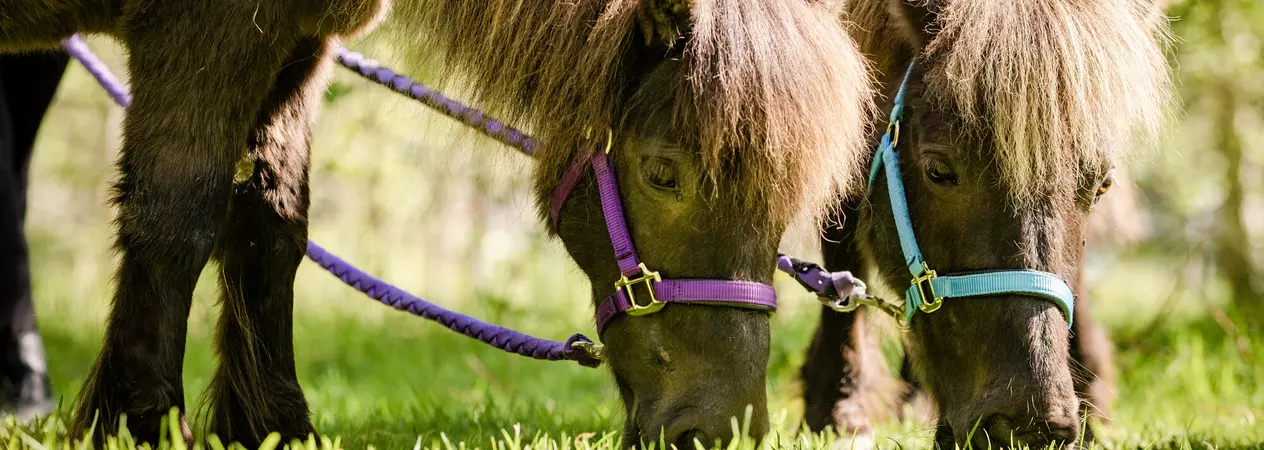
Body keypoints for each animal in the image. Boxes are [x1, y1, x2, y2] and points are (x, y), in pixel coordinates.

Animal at [0, 0, 875, 447]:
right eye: (664, 174)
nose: (717, 428)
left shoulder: (296, 46)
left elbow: (272, 230)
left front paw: (271, 427)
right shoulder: (203, 38)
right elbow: (175, 218)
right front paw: (136, 423)